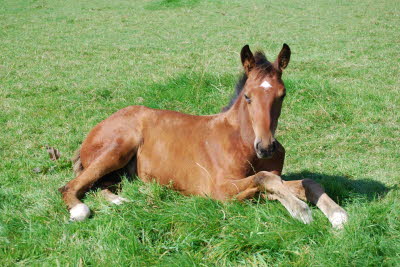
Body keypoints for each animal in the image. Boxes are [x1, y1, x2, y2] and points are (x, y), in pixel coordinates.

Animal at [58, 45, 346, 229]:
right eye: (248, 96)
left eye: (282, 95)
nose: (266, 148)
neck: (241, 141)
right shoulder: (219, 189)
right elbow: (265, 180)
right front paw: (301, 210)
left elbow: (301, 182)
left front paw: (336, 214)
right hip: (118, 148)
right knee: (71, 186)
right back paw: (81, 210)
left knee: (99, 186)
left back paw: (123, 199)